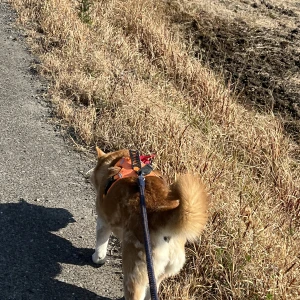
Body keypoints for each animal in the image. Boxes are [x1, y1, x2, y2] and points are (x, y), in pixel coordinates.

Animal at [91, 148, 209, 300]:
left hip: (135, 274)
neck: (117, 161)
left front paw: (97, 258)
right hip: (158, 275)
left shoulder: (103, 220)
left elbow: (101, 243)